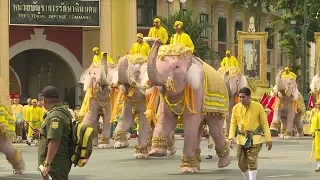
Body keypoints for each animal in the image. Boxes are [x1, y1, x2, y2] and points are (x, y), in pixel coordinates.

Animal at [146, 40, 231, 173]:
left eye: (176, 67)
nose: (158, 40)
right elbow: (165, 118)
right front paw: (156, 152)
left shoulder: (197, 89)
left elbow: (190, 122)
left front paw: (187, 170)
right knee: (200, 129)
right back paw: (197, 165)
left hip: (220, 107)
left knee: (214, 129)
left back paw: (224, 164)